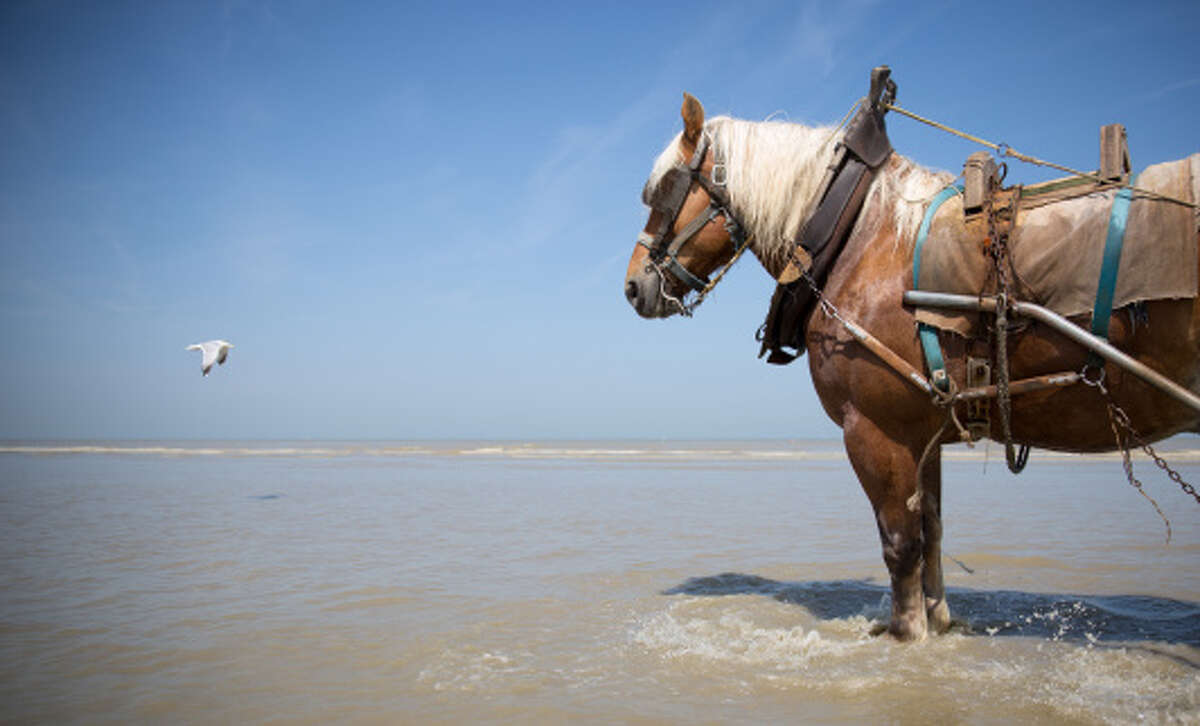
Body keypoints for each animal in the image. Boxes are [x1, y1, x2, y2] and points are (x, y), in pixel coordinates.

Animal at [623, 91, 1200, 641]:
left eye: (664, 188)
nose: (632, 285)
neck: (863, 238)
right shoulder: (927, 433)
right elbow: (933, 534)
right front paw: (939, 620)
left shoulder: (877, 430)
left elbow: (900, 543)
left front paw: (906, 632)